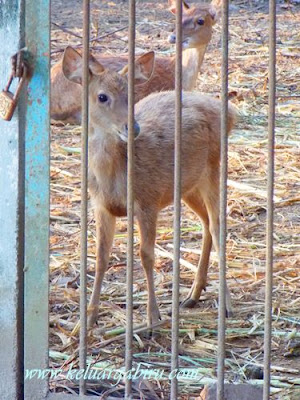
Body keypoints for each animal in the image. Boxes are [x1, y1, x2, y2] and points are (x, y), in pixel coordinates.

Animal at [61, 45, 237, 330]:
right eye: (102, 96)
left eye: (132, 94)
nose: (132, 127)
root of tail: (231, 113)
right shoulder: (100, 205)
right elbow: (100, 257)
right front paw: (88, 318)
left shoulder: (148, 199)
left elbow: (146, 255)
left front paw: (153, 317)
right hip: (188, 186)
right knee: (206, 223)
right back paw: (192, 294)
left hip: (213, 168)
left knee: (218, 225)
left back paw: (226, 304)